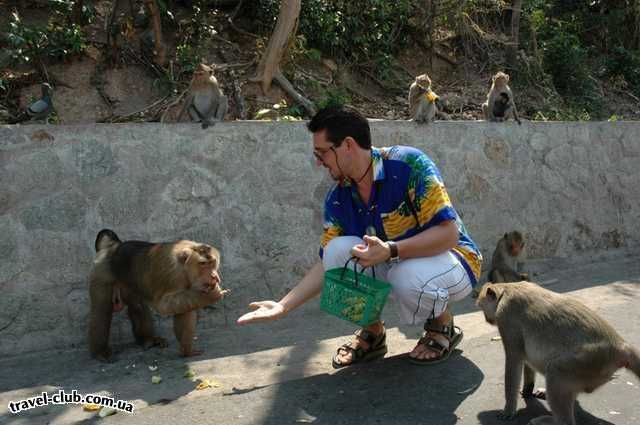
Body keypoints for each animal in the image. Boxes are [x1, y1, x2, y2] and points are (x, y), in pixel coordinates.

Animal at [87, 229, 230, 362]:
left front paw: (186, 350)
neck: (184, 267)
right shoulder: (172, 275)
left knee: (137, 305)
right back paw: (100, 351)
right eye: (203, 264)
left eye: (212, 262)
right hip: (102, 272)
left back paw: (147, 339)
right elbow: (163, 305)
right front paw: (210, 296)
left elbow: (184, 308)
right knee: (101, 310)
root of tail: (114, 247)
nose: (214, 276)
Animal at [478, 282, 636, 424]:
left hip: (590, 361)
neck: (506, 289)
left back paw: (552, 420)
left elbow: (515, 358)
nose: (486, 319)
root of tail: (621, 347)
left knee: (555, 370)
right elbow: (525, 358)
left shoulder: (506, 319)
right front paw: (527, 388)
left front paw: (508, 409)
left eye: (482, 307)